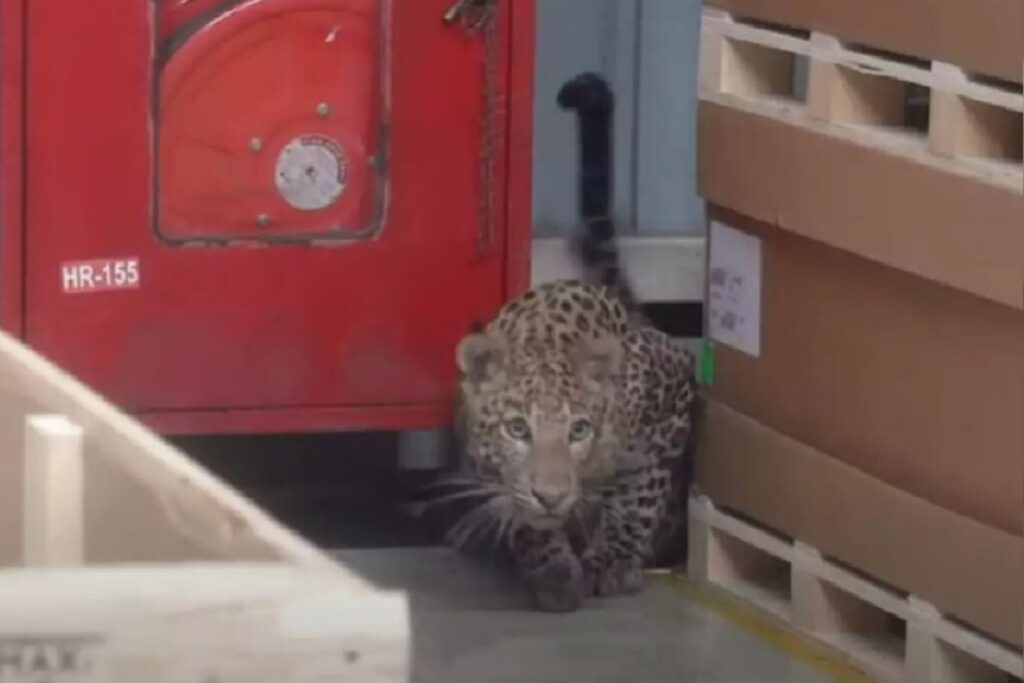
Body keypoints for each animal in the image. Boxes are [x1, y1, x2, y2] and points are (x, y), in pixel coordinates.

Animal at [448, 213, 697, 612]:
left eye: (579, 431)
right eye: (517, 429)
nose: (551, 498)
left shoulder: (673, 385)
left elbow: (638, 496)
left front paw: (613, 561)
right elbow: (522, 510)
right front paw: (554, 569)